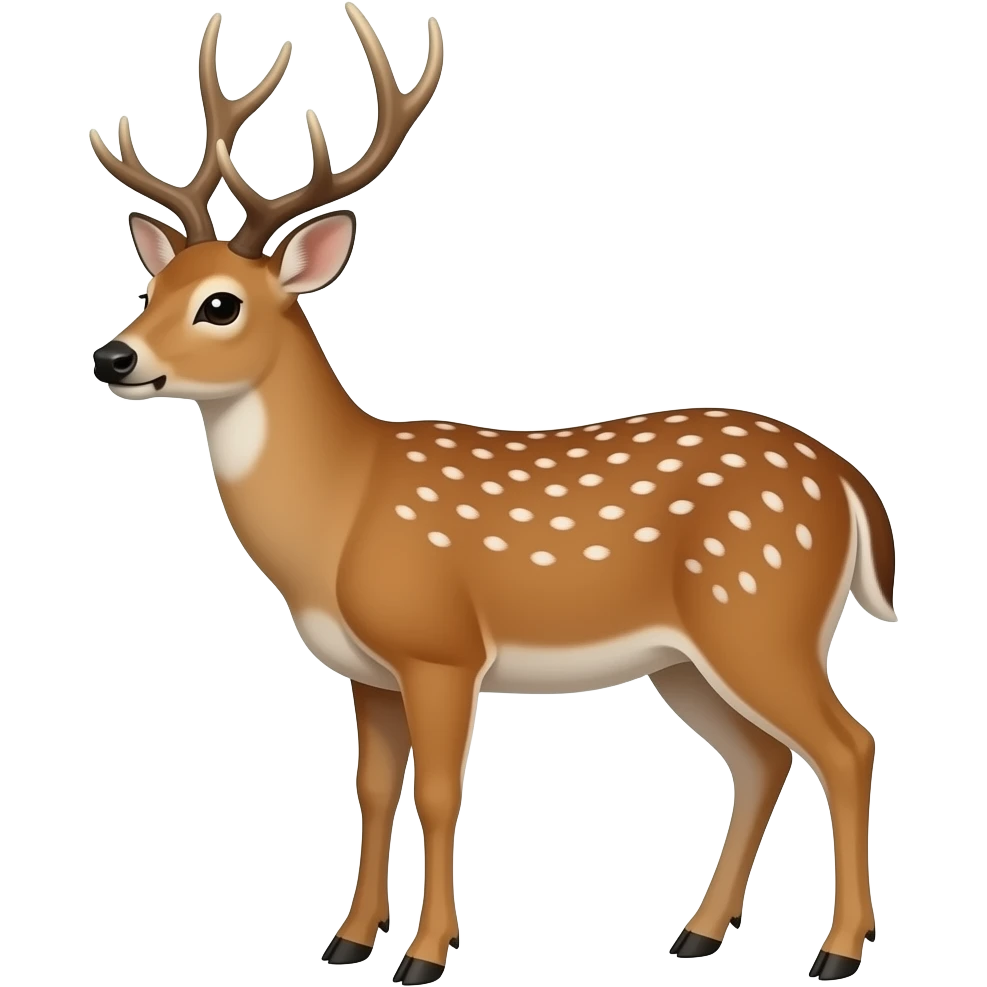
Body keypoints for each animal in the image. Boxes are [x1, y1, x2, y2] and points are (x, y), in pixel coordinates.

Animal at [89, 7, 895, 984]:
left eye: (219, 304)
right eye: (151, 284)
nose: (113, 357)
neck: (340, 512)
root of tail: (847, 480)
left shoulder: (439, 646)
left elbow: (438, 793)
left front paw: (424, 954)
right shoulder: (367, 670)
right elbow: (372, 788)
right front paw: (347, 940)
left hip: (761, 611)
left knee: (846, 744)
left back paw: (837, 952)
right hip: (686, 657)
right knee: (763, 757)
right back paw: (696, 933)